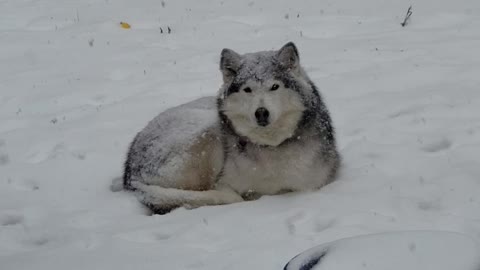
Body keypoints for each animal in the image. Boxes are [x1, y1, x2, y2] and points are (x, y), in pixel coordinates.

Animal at [124, 42, 342, 214]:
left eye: (274, 87)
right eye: (247, 89)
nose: (261, 113)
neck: (271, 146)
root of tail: (129, 169)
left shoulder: (310, 184)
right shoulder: (227, 183)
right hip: (208, 132)